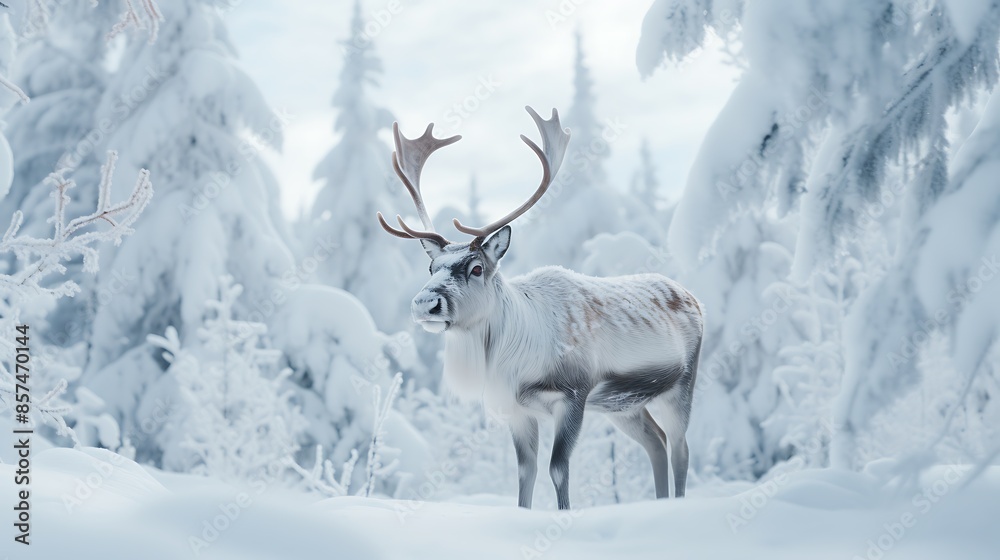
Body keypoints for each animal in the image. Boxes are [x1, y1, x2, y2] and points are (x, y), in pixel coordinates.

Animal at [377, 106, 704, 510]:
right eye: (431, 267)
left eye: (476, 267)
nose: (426, 303)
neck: (514, 360)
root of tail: (693, 297)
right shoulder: (517, 410)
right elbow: (525, 474)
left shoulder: (574, 394)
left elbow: (558, 470)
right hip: (622, 405)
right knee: (656, 443)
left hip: (681, 385)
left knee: (680, 448)